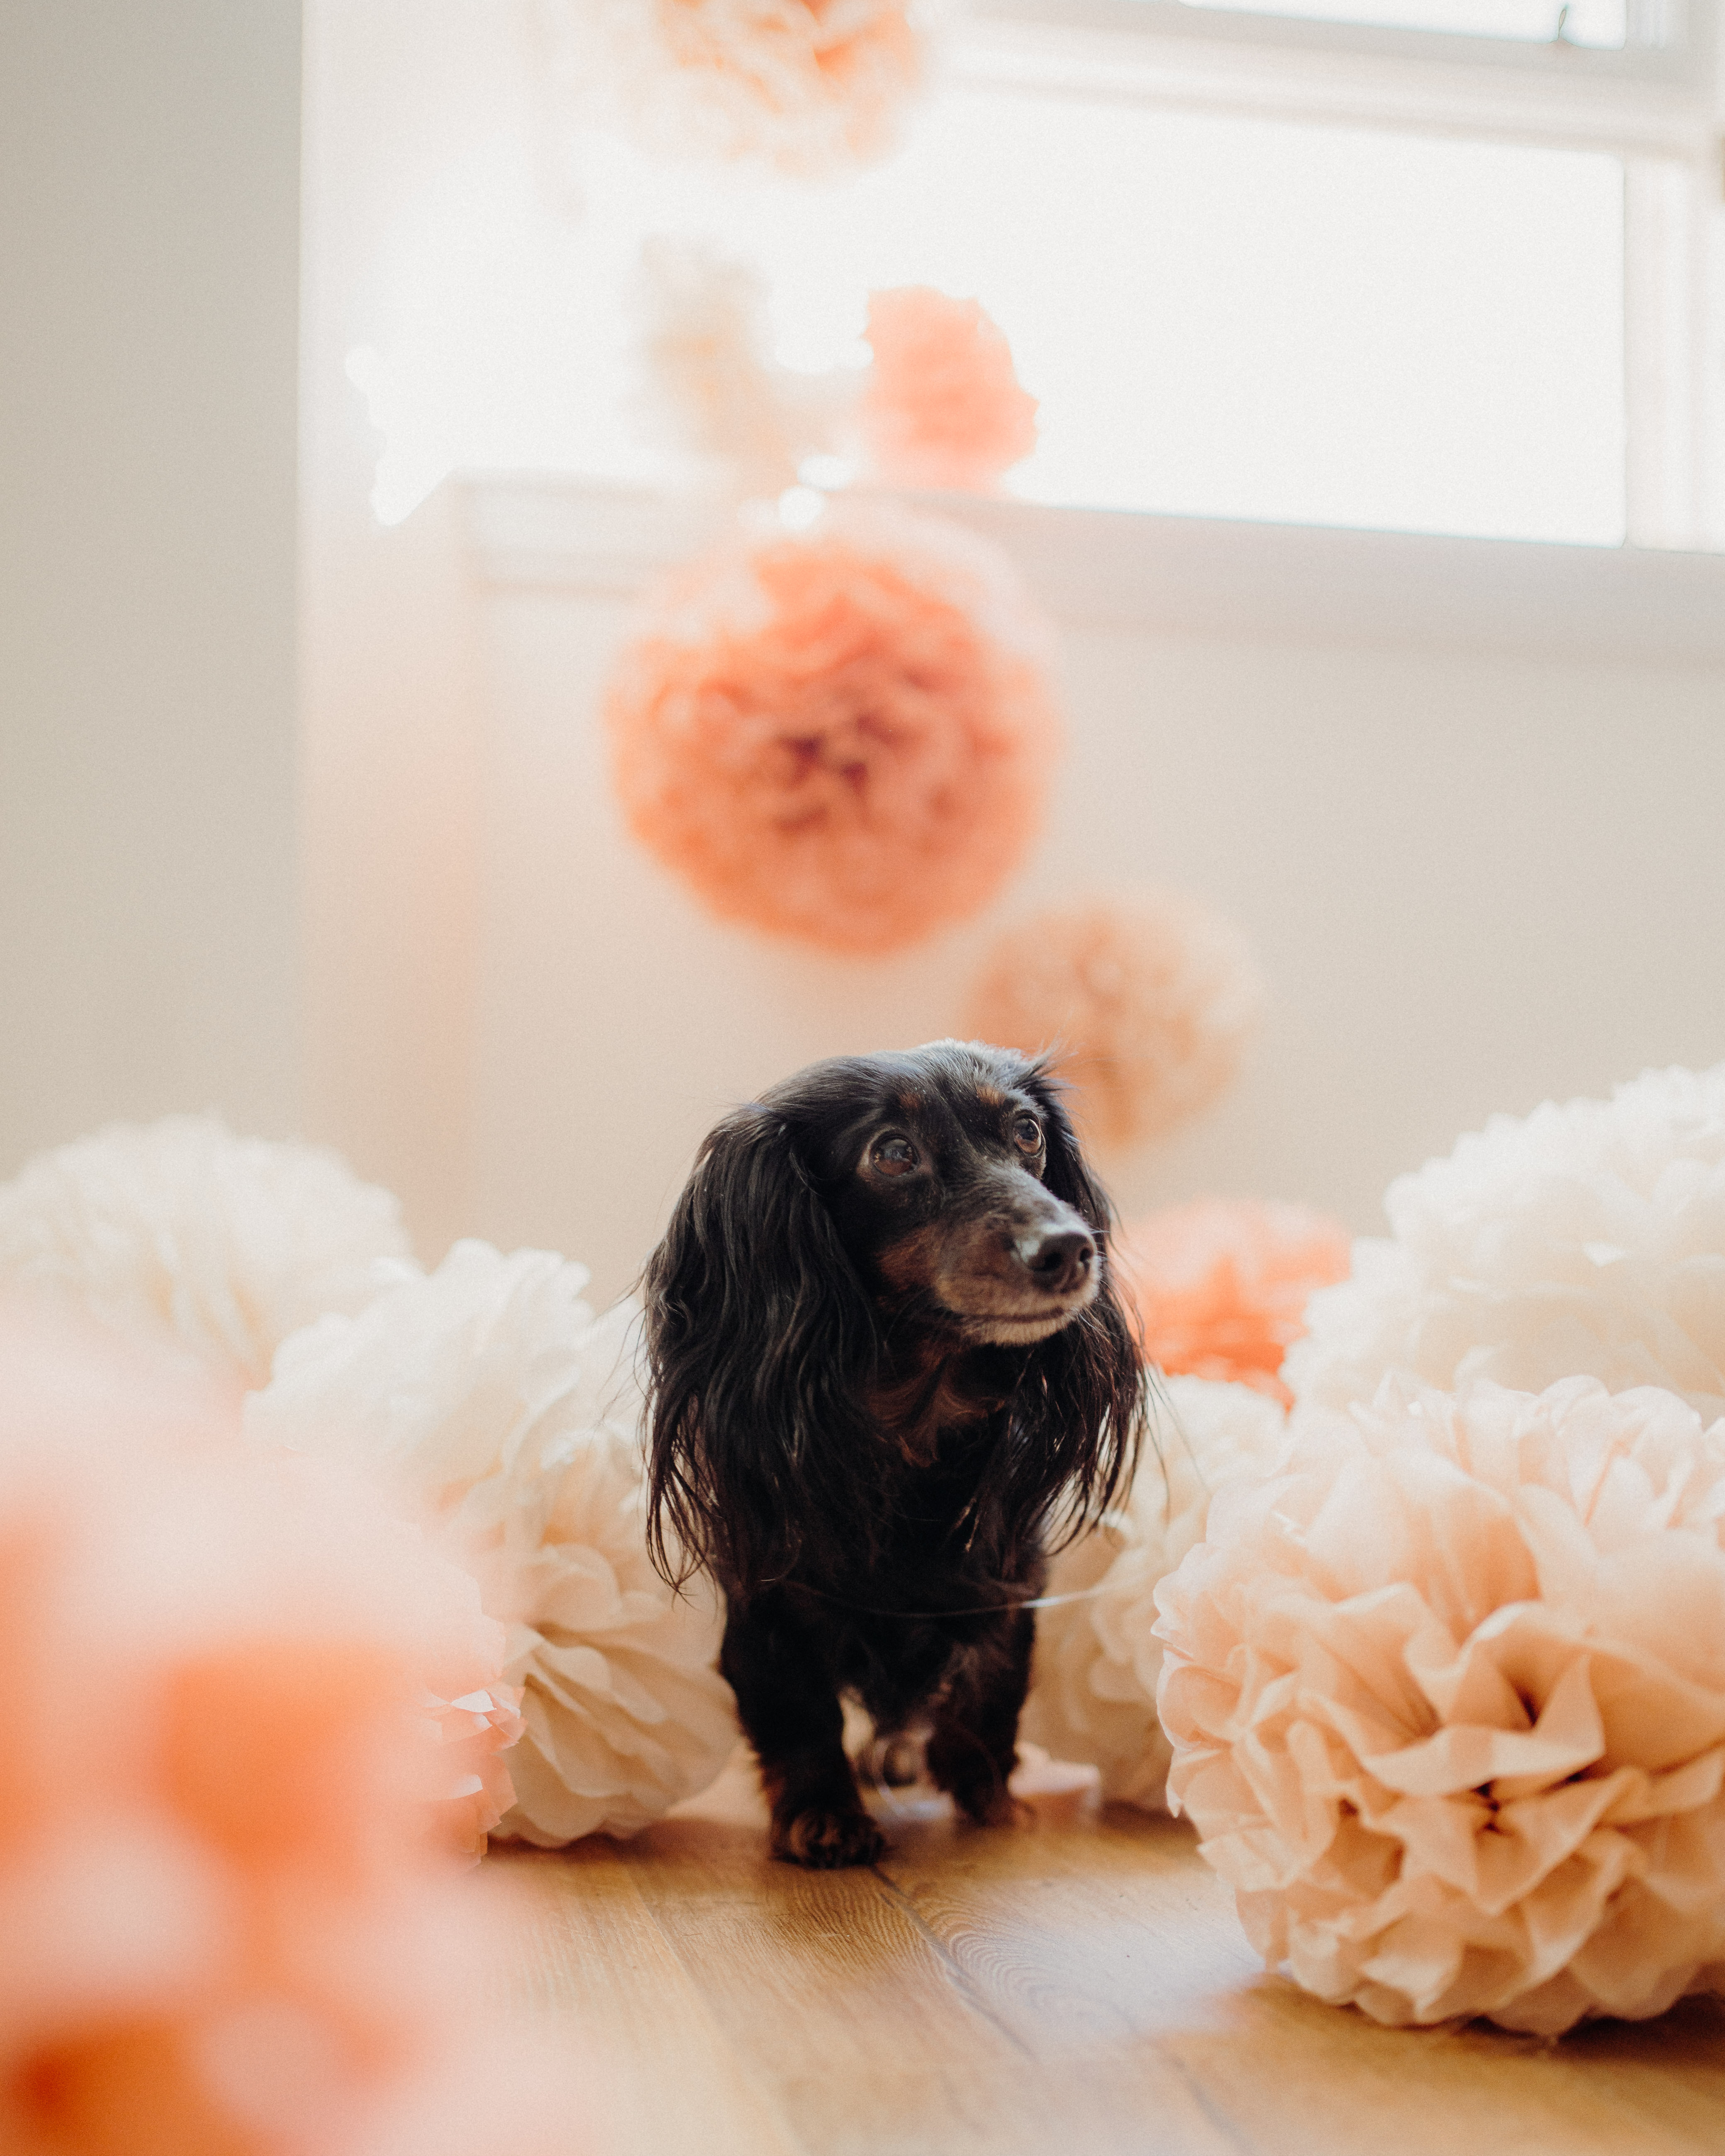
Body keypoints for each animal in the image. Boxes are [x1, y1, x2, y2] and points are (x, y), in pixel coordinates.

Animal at [642, 1035, 1147, 1863]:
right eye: (892, 1152)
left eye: (1027, 1133)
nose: (1072, 1250)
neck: (914, 1429)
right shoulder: (768, 1599)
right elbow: (797, 1712)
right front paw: (822, 1814)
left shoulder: (1008, 1578)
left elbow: (991, 1687)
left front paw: (987, 1792)